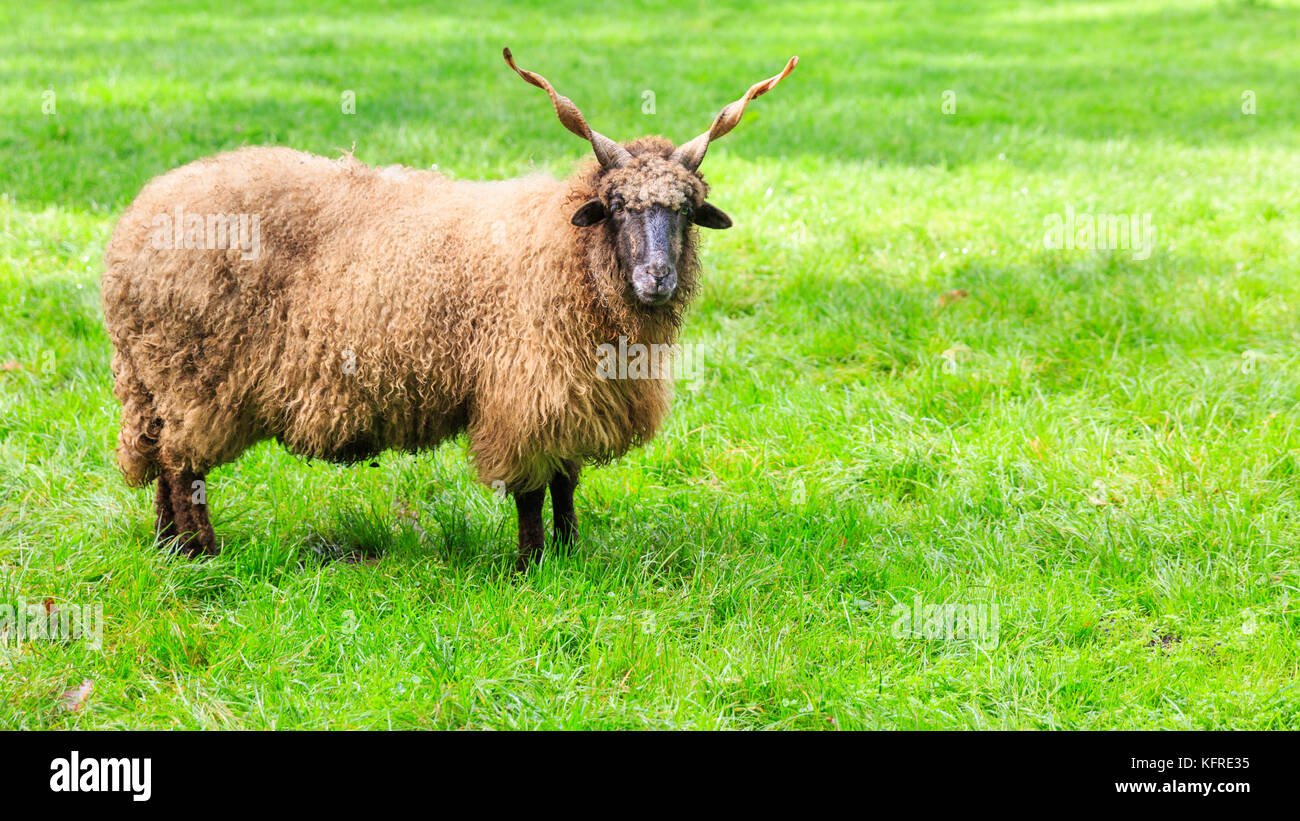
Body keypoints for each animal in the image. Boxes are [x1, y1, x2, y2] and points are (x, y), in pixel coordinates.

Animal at [101, 48, 795, 566]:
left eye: (687, 209)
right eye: (618, 205)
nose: (657, 279)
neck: (566, 252)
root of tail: (132, 227)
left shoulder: (574, 393)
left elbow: (567, 483)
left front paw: (571, 553)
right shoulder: (526, 393)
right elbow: (531, 491)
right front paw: (531, 565)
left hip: (155, 383)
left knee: (159, 461)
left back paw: (168, 547)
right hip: (191, 379)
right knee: (182, 467)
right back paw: (202, 551)